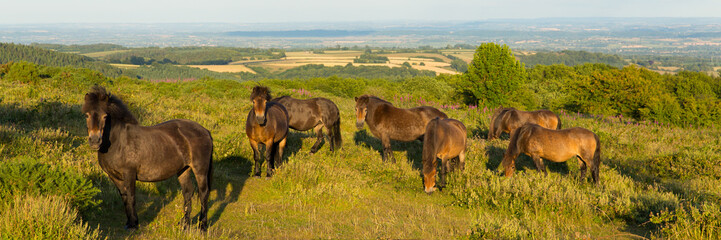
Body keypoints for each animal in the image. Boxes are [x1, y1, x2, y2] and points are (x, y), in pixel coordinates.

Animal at [81, 86, 212, 231]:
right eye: (86, 115)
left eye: (105, 116)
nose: (94, 141)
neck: (118, 141)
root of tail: (205, 131)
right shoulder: (114, 176)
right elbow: (124, 198)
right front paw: (128, 223)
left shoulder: (129, 173)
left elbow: (131, 197)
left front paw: (134, 224)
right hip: (184, 169)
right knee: (188, 192)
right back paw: (184, 223)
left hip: (200, 170)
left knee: (203, 193)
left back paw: (202, 225)